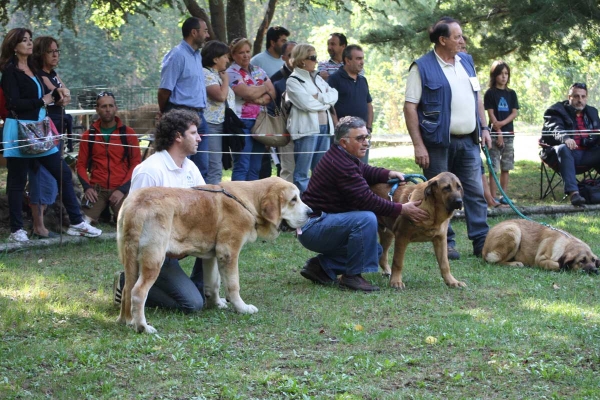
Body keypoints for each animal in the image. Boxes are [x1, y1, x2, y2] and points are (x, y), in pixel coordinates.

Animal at [118, 177, 314, 332]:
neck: (250, 201)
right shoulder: (229, 252)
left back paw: (127, 320)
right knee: (138, 292)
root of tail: (136, 204)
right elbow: (233, 285)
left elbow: (213, 283)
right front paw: (242, 308)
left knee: (127, 288)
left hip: (130, 259)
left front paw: (217, 303)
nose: (311, 212)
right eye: (293, 200)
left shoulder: (212, 256)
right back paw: (142, 327)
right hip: (154, 258)